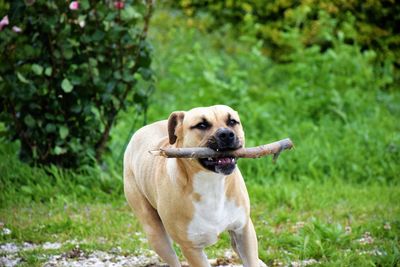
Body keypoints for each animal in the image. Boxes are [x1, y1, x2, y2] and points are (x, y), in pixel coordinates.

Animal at [123, 105, 264, 266]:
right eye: (201, 125)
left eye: (232, 122)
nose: (227, 134)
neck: (211, 183)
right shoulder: (191, 249)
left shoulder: (243, 231)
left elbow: (251, 259)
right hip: (156, 235)